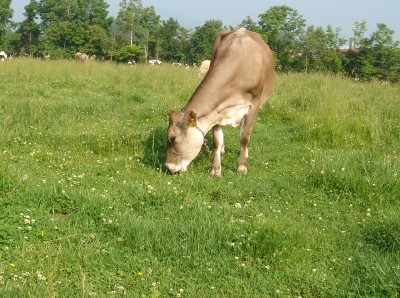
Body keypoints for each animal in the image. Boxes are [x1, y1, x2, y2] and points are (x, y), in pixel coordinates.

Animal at [166, 27, 276, 177]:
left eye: (172, 138)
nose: (168, 167)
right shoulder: (217, 110)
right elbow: (217, 141)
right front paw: (215, 169)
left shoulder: (253, 105)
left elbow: (244, 137)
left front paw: (242, 166)